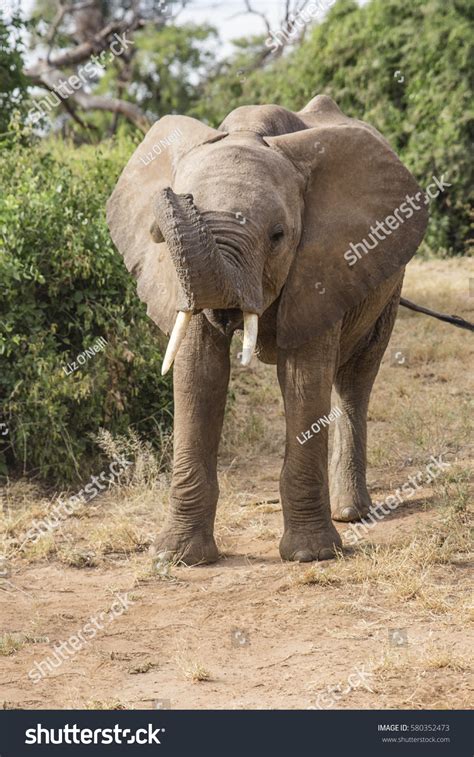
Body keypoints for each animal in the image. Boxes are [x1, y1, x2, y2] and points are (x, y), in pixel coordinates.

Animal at [107, 94, 430, 564]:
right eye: (156, 237)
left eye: (278, 236)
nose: (173, 195)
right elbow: (198, 373)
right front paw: (177, 557)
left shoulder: (325, 263)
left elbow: (303, 378)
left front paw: (311, 555)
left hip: (388, 283)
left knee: (356, 378)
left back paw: (351, 513)